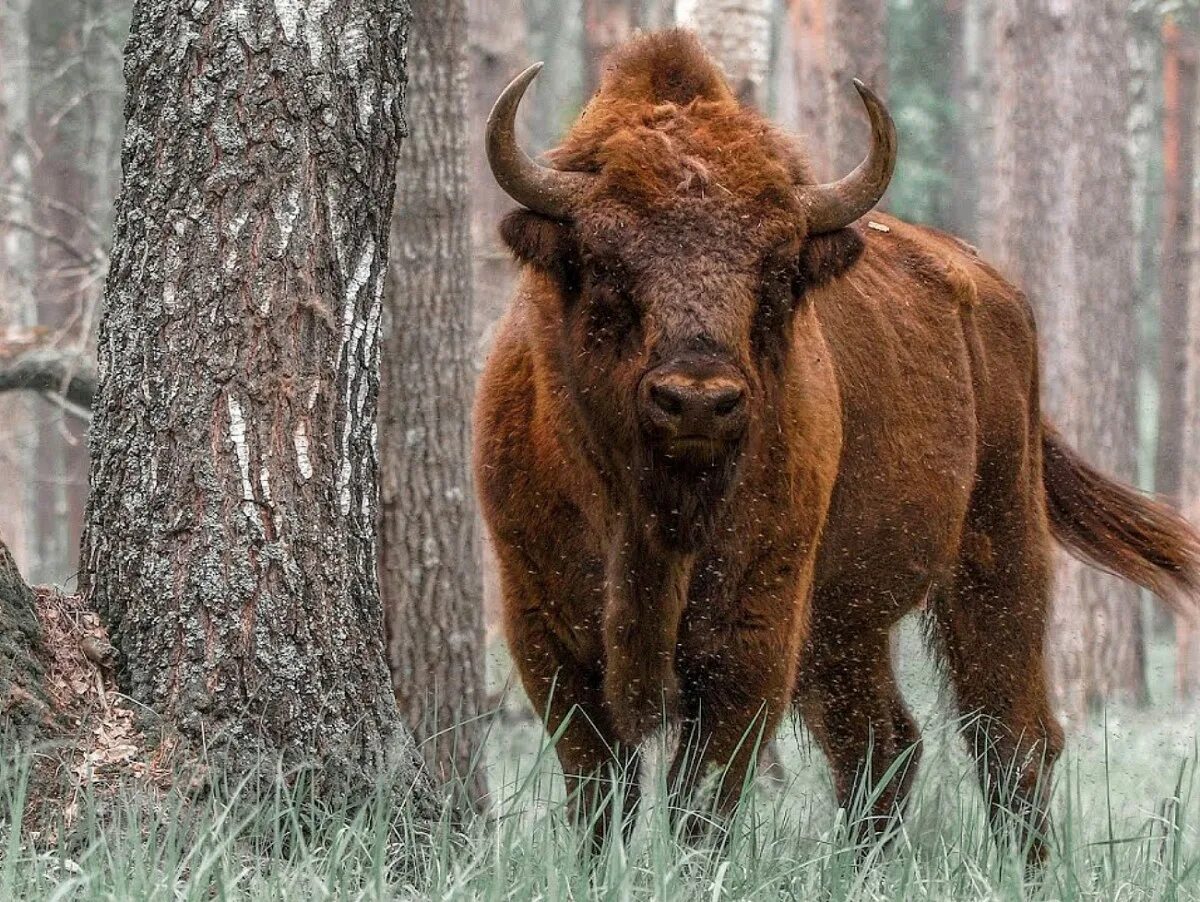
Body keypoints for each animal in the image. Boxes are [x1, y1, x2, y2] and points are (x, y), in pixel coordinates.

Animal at [472, 28, 1200, 858]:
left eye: (777, 269)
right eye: (602, 261)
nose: (698, 399)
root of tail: (994, 289)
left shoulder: (754, 629)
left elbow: (702, 796)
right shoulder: (545, 628)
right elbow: (600, 787)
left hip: (997, 550)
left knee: (1010, 736)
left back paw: (1027, 865)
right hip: (848, 621)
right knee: (885, 742)